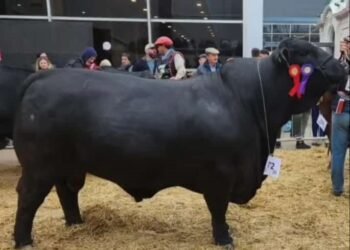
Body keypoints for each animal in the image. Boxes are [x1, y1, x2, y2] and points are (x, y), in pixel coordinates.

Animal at [13, 39, 344, 248]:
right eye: (306, 52)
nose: (343, 67)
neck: (246, 102)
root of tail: (44, 77)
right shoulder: (220, 176)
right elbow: (218, 210)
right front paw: (224, 239)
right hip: (39, 167)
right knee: (28, 198)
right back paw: (23, 240)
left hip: (68, 166)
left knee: (67, 192)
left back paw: (76, 224)